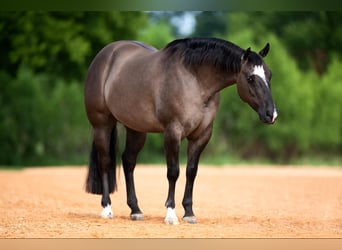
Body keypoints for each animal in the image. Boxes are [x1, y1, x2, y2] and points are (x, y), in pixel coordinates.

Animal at [85, 36, 278, 225]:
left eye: (269, 75)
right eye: (251, 78)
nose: (271, 114)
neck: (195, 81)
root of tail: (105, 55)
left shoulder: (201, 135)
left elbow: (191, 171)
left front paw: (189, 213)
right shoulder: (173, 132)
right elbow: (173, 172)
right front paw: (171, 214)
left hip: (136, 129)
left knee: (128, 161)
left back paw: (136, 210)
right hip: (102, 124)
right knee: (105, 162)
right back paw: (107, 209)